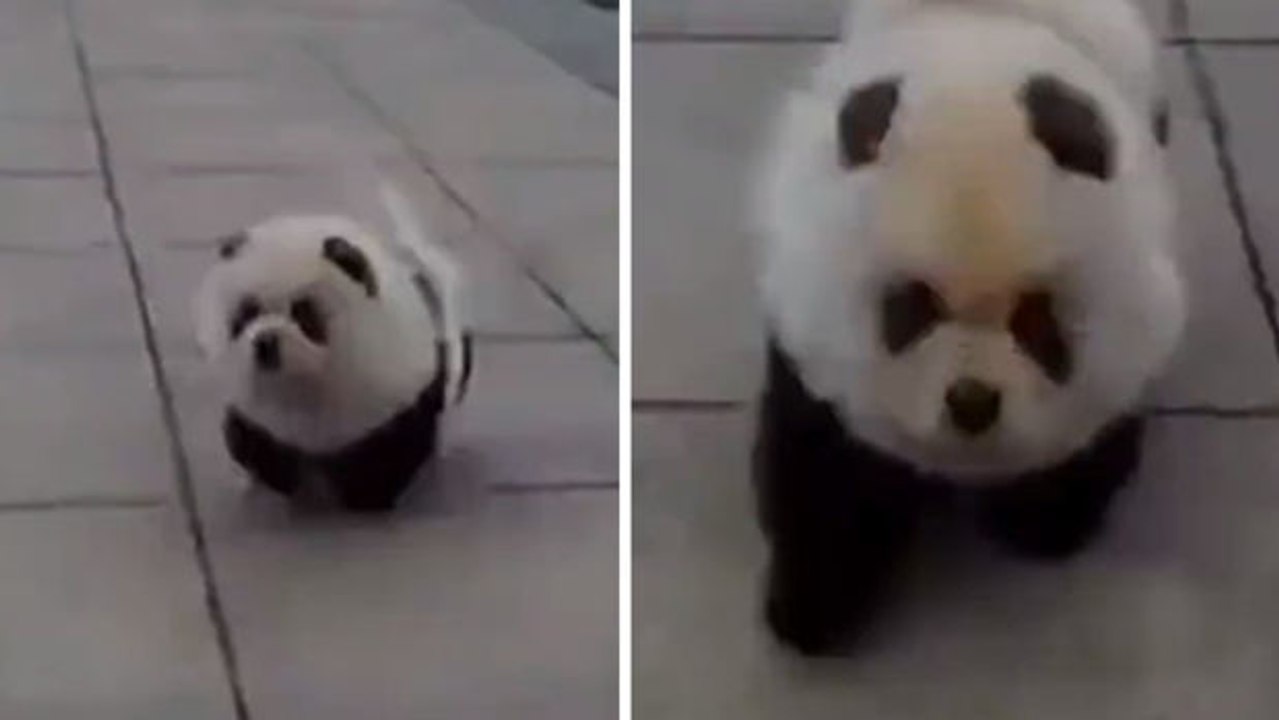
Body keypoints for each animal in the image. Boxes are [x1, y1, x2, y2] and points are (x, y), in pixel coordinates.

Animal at [194, 182, 473, 512]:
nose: (266, 342)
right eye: (247, 313)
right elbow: (254, 441)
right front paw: (280, 481)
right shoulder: (258, 409)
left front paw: (370, 494)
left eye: (305, 314)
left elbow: (390, 448)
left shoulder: (392, 386)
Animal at [751, 0, 1186, 655]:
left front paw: (1041, 516)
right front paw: (810, 609)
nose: (973, 403)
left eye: (1036, 320)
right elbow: (821, 468)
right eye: (912, 308)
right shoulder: (810, 316)